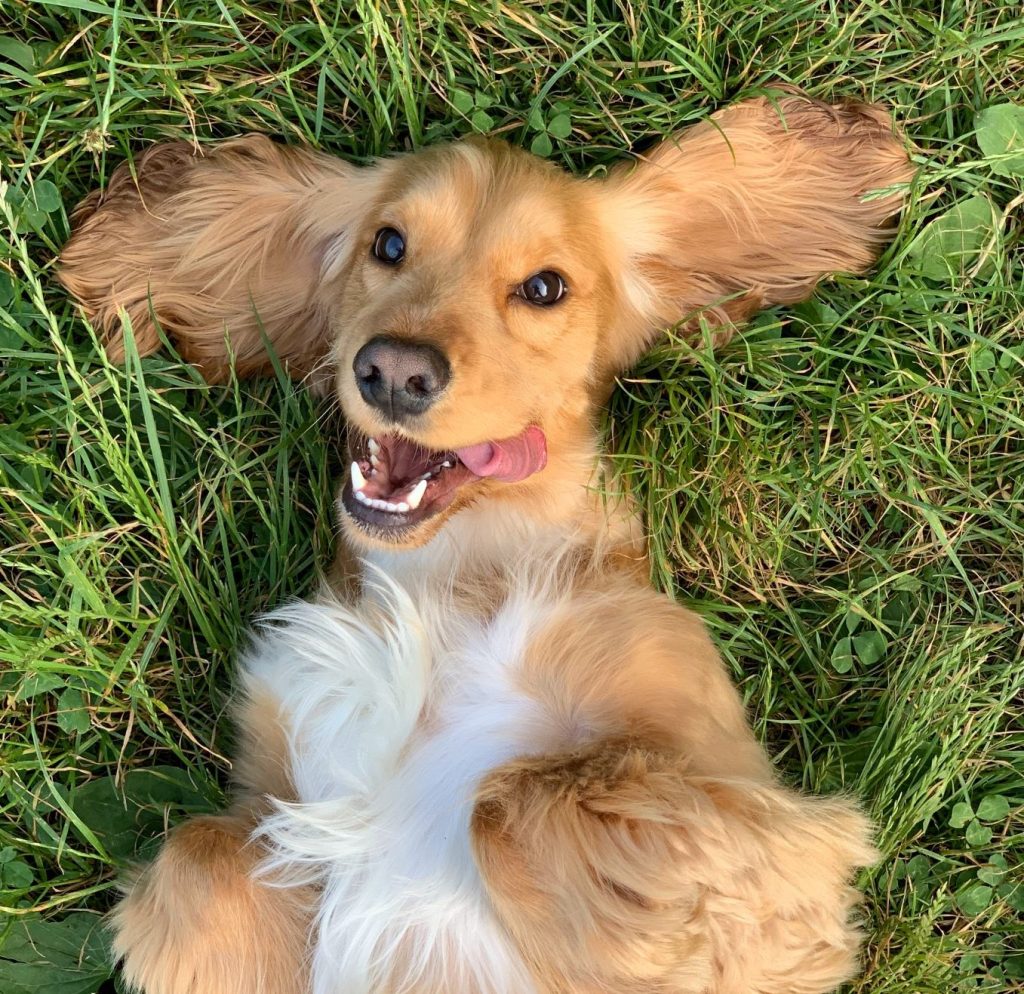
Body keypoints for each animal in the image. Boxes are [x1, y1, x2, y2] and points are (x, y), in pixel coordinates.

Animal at [58, 87, 913, 994]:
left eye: (545, 287)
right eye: (388, 243)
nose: (395, 372)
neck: (449, 577)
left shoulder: (776, 841)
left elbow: (512, 798)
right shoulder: (278, 753)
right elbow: (202, 853)